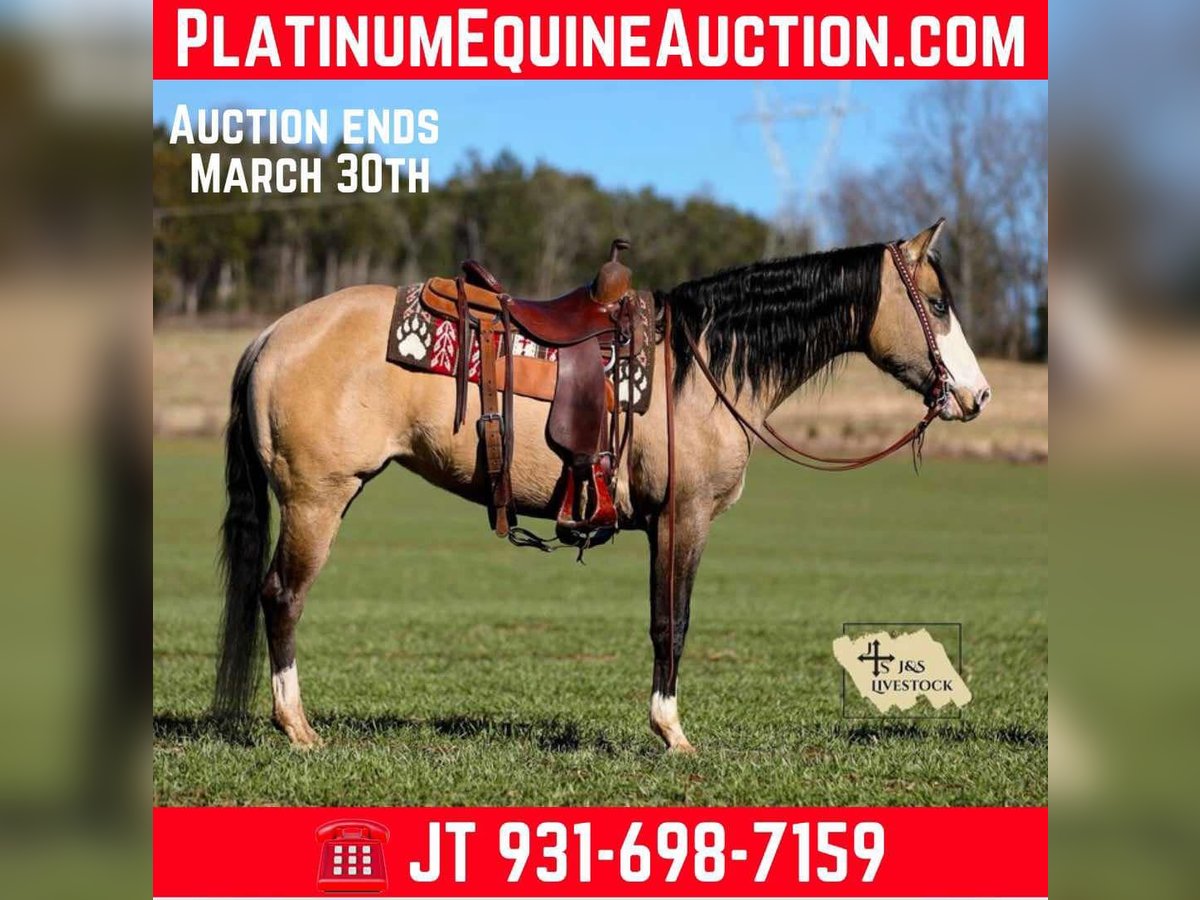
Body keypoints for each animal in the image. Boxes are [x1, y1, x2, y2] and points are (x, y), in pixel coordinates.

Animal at [214, 219, 991, 752]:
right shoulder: (683, 519)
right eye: (938, 304)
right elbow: (672, 622)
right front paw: (672, 732)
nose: (977, 395)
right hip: (317, 500)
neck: (698, 366)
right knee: (282, 596)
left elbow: (663, 620)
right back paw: (297, 727)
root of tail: (271, 335)